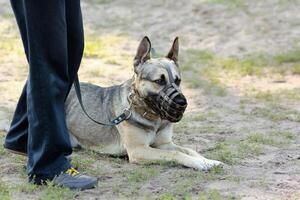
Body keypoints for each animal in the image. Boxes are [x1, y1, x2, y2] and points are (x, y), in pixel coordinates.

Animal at [64, 36, 221, 170]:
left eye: (178, 81)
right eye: (159, 81)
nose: (182, 102)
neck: (152, 116)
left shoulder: (164, 144)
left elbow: (189, 150)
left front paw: (207, 160)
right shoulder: (138, 150)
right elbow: (175, 153)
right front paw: (198, 163)